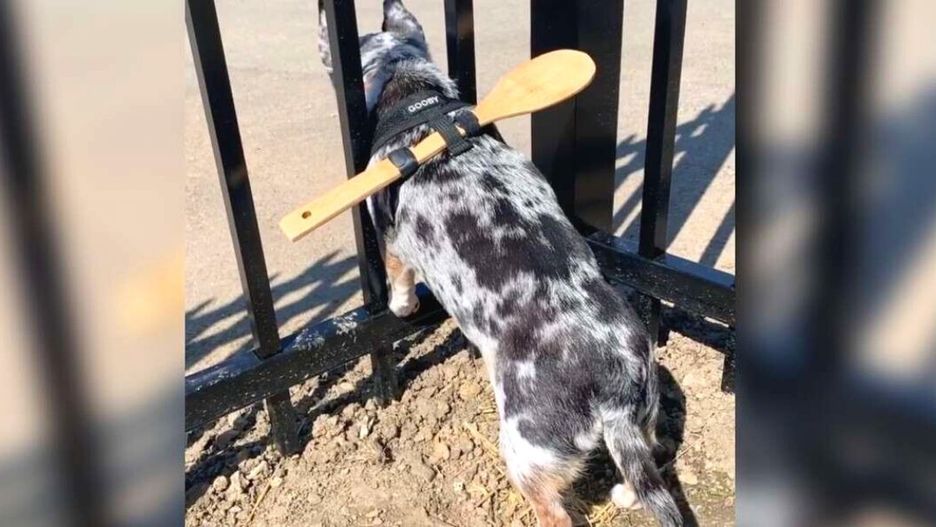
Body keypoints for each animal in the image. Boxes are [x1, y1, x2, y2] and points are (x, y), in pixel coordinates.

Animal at [317, 2, 682, 526]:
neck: (416, 98)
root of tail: (612, 387)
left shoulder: (392, 244)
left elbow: (398, 282)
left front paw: (402, 307)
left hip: (526, 449)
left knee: (555, 510)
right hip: (643, 420)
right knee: (647, 465)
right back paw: (624, 494)